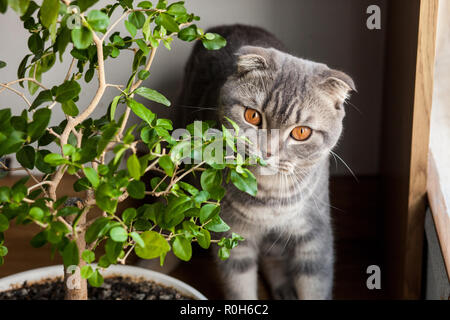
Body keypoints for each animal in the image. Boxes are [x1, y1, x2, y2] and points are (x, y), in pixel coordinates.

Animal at [177, 24, 356, 300]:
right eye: (252, 116)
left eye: (301, 132)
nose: (267, 150)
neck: (269, 197)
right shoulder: (232, 235)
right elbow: (239, 286)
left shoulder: (314, 235)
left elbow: (315, 285)